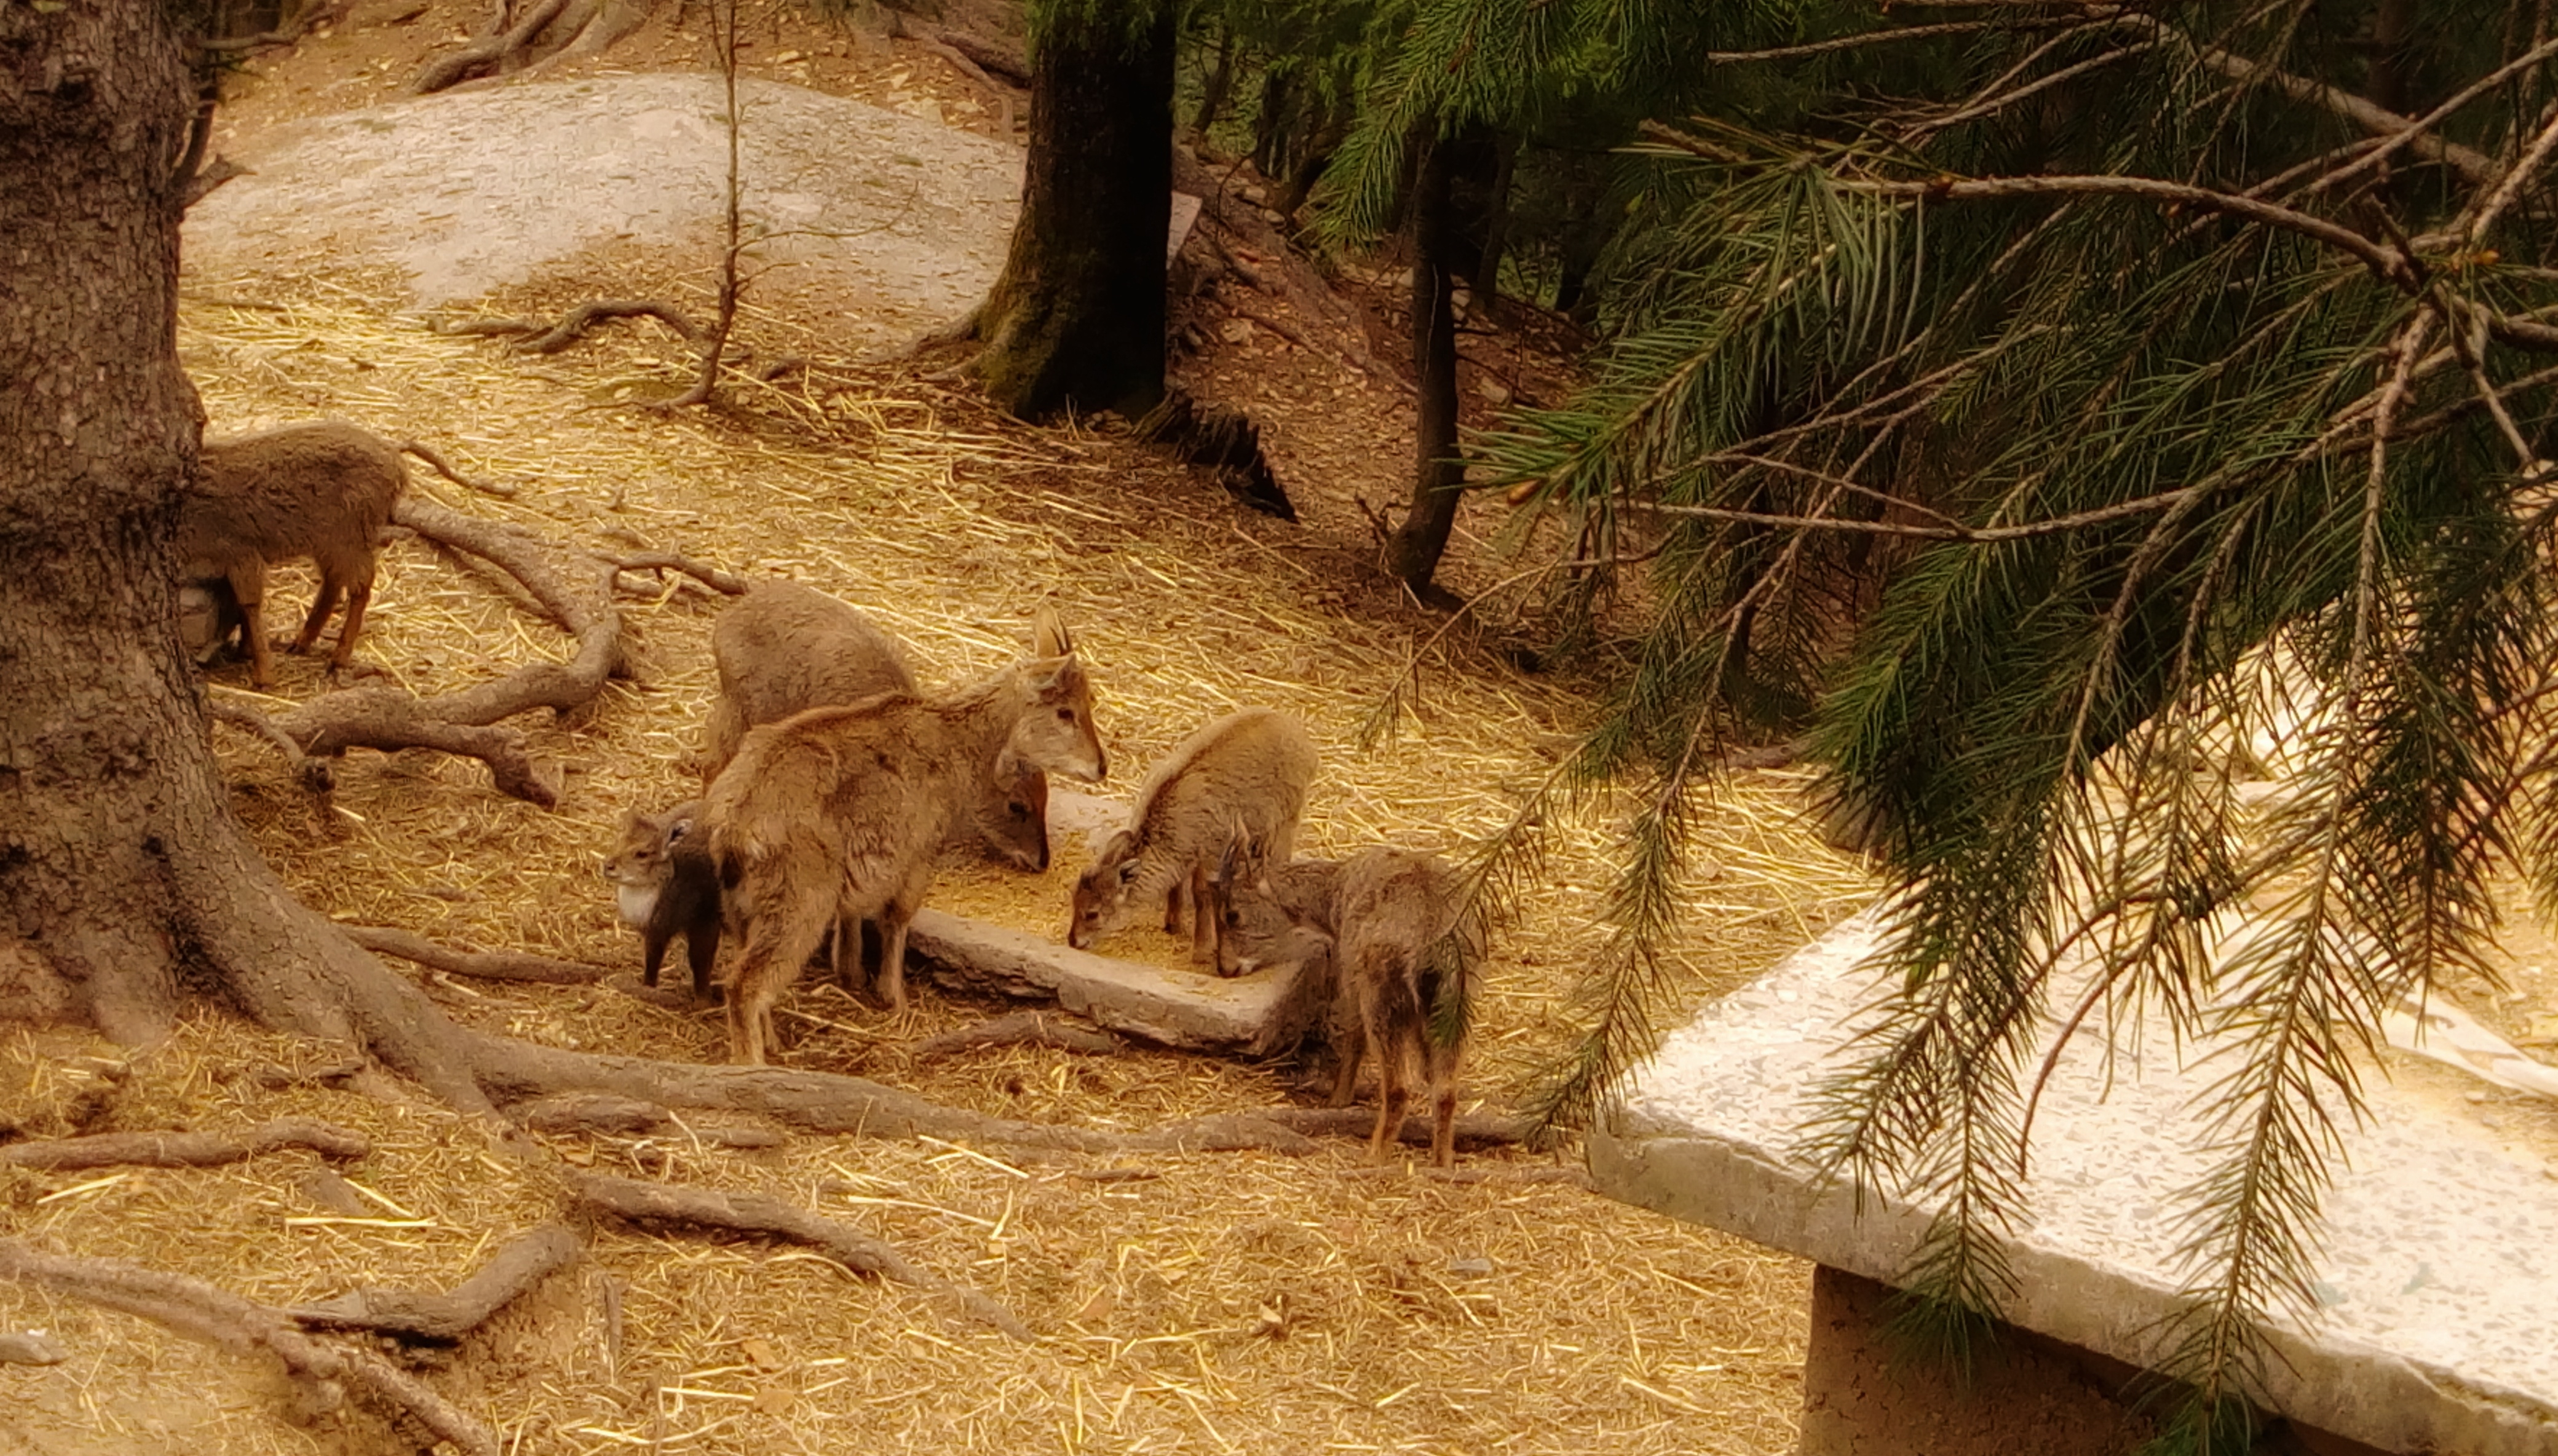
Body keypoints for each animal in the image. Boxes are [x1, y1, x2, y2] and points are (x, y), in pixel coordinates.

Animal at [174, 419, 405, 687]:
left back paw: (338, 657)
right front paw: (245, 651)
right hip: (329, 540)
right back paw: (301, 642)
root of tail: (400, 469)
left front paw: (263, 674)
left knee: (361, 586)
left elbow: (250, 604)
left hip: (352, 534)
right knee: (334, 581)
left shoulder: (240, 551)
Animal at [701, 608, 1107, 1065]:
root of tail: (734, 827)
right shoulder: (918, 855)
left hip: (744, 905)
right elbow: (897, 918)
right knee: (745, 984)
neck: (957, 746)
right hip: (799, 901)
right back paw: (753, 1062)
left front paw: (856, 976)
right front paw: (894, 998)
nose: (1101, 766)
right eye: (1065, 712)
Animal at [1067, 707, 1316, 967]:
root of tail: (1298, 733)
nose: (1074, 940)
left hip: (1288, 818)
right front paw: (1173, 925)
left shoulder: (1211, 852)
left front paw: (1202, 952)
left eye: (1092, 913)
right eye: (1074, 898)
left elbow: (1202, 894)